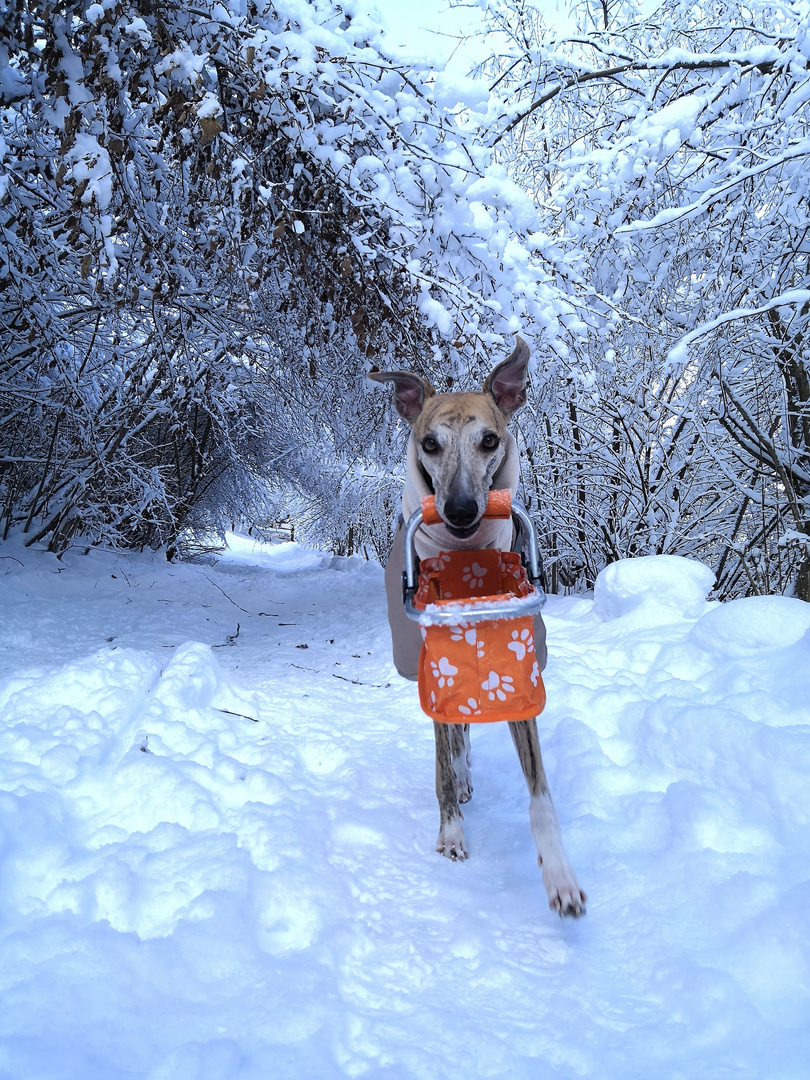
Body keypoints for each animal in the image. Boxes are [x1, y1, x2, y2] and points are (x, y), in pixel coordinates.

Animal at [371, 336, 587, 920]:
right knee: (453, 734)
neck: (467, 559)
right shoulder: (436, 664)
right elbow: (443, 759)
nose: (463, 509)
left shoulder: (519, 669)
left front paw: (559, 875)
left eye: (490, 440)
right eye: (430, 443)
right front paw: (451, 831)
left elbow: (540, 793)